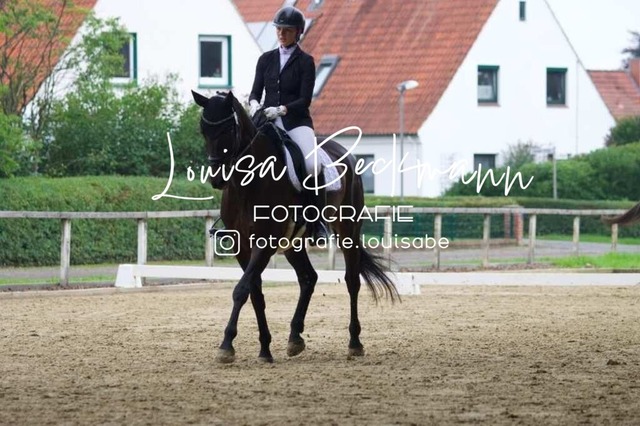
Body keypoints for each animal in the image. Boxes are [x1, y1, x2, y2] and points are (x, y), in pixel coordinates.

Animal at [191, 90, 399, 363]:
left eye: (228, 129)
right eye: (203, 130)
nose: (217, 179)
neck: (250, 182)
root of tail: (345, 153)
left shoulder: (265, 243)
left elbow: (241, 289)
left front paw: (227, 345)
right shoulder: (241, 245)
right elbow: (254, 292)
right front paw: (264, 349)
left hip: (348, 230)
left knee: (352, 280)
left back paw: (354, 343)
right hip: (293, 243)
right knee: (308, 278)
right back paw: (295, 338)